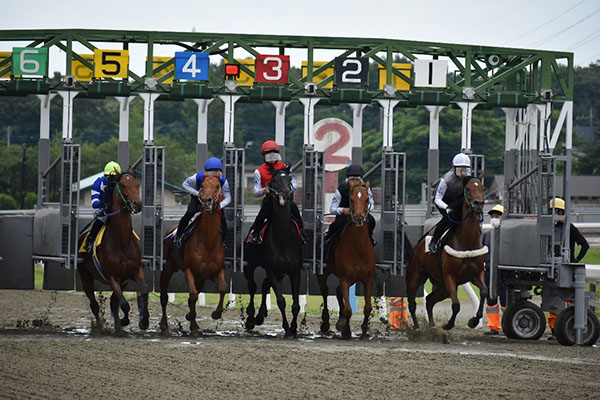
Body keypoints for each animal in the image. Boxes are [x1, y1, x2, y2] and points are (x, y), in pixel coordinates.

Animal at [77, 170, 149, 333]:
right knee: (94, 304)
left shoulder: (134, 272)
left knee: (113, 301)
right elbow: (124, 304)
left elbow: (144, 292)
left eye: (137, 184)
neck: (122, 241)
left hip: (124, 281)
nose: (137, 204)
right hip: (85, 276)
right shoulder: (112, 277)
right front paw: (124, 321)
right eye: (122, 185)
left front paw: (144, 321)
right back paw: (99, 327)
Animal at [160, 175, 227, 334]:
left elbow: (223, 288)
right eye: (202, 185)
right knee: (164, 296)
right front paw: (190, 316)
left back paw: (195, 326)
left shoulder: (214, 271)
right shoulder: (189, 269)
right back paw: (164, 325)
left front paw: (216, 313)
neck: (208, 242)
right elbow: (193, 294)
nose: (207, 200)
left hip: (200, 278)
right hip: (167, 268)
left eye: (217, 186)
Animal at [244, 166, 304, 338]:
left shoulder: (294, 272)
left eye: (289, 179)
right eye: (274, 181)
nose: (285, 194)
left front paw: (294, 328)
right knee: (252, 286)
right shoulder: (271, 269)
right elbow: (281, 301)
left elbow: (296, 305)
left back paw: (260, 315)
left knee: (264, 285)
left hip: (280, 272)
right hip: (251, 264)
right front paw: (287, 328)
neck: (283, 237)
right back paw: (251, 318)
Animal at [318, 179, 376, 339]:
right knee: (325, 291)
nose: (359, 217)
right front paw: (344, 327)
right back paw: (326, 324)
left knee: (338, 292)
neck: (358, 248)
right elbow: (348, 310)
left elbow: (367, 307)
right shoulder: (344, 278)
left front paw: (364, 331)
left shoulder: (368, 279)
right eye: (351, 199)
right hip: (323, 273)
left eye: (367, 199)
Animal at [406, 174, 488, 331]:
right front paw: (448, 325)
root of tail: (418, 245)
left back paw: (432, 326)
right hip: (415, 277)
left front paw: (473, 321)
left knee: (429, 300)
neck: (466, 241)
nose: (478, 205)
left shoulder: (476, 274)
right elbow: (456, 305)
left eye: (482, 188)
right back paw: (417, 327)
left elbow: (484, 292)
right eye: (468, 188)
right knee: (412, 302)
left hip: (441, 286)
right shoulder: (450, 277)